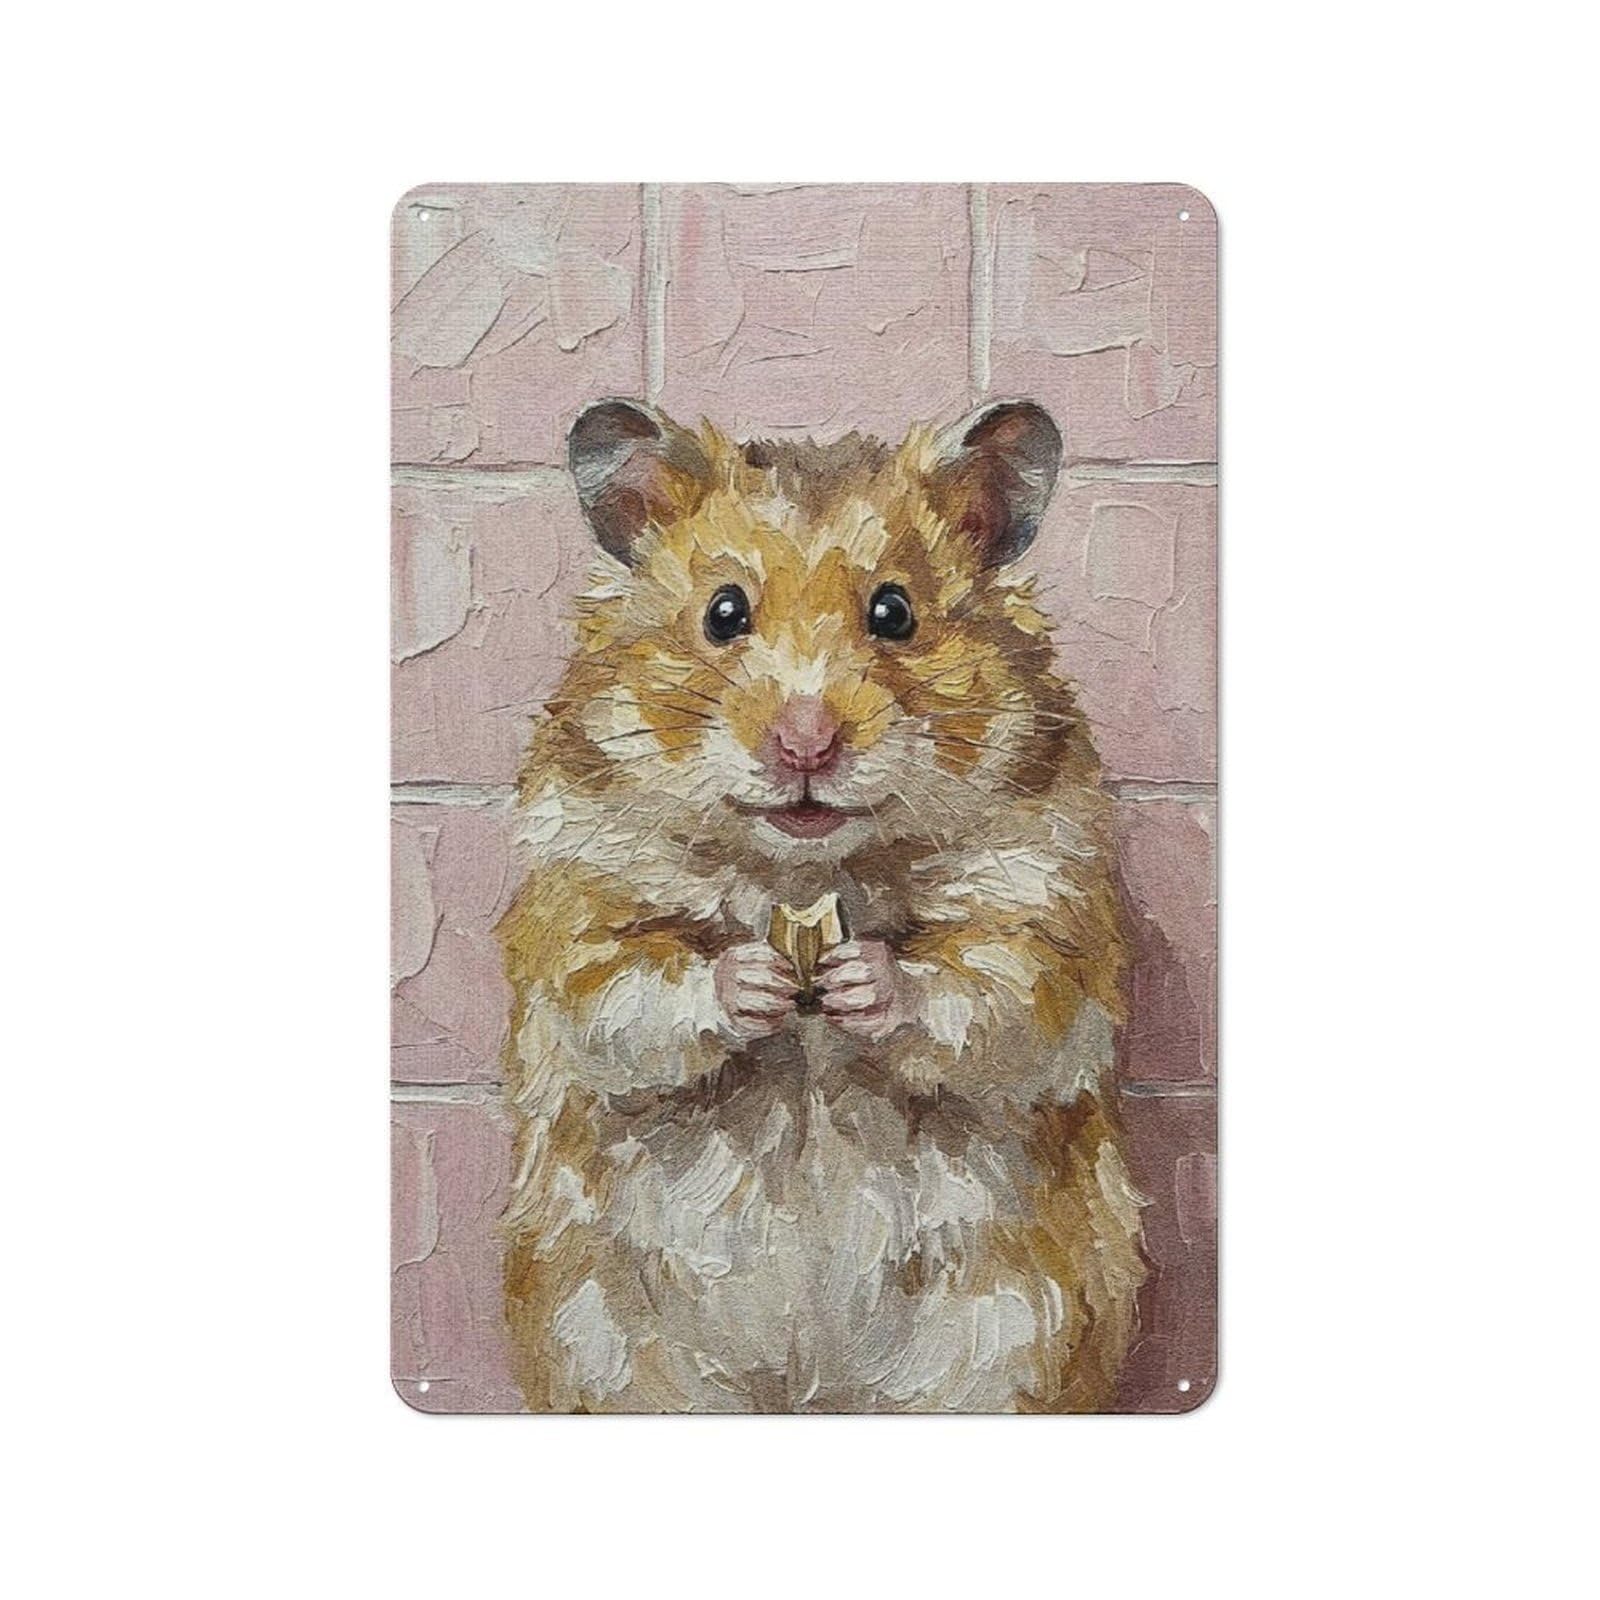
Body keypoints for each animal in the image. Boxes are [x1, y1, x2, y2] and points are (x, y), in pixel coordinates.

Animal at [495, 397, 1147, 1412]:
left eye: (895, 612)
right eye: (723, 613)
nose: (807, 743)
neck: (805, 876)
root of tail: (810, 1392)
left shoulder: (1046, 911)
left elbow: (988, 993)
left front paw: (858, 981)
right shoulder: (577, 915)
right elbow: (632, 995)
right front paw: (757, 981)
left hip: (1005, 1345)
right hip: (617, 1353)